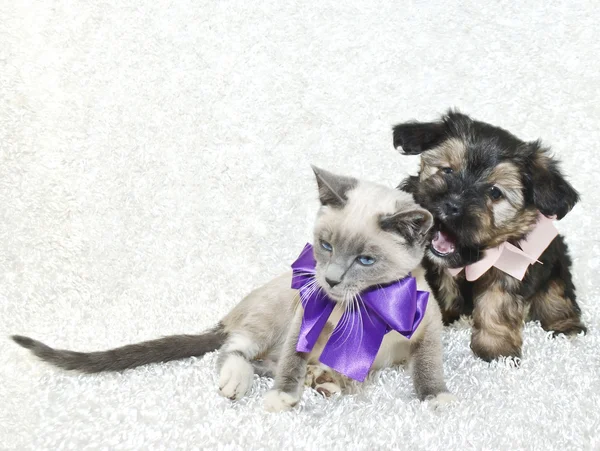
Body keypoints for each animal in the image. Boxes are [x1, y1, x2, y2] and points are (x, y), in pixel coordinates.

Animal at [11, 167, 454, 414]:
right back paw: (240, 381)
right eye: (326, 246)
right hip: (274, 313)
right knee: (237, 349)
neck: (367, 304)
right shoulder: (306, 315)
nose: (329, 280)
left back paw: (328, 380)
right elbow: (290, 362)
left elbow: (428, 366)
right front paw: (282, 400)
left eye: (364, 260)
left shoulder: (428, 327)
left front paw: (435, 398)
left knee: (270, 362)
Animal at [392, 111, 584, 362]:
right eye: (448, 170)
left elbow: (497, 304)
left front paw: (496, 351)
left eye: (494, 192)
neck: (468, 257)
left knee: (557, 293)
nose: (452, 205)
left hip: (555, 264)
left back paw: (565, 325)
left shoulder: (510, 266)